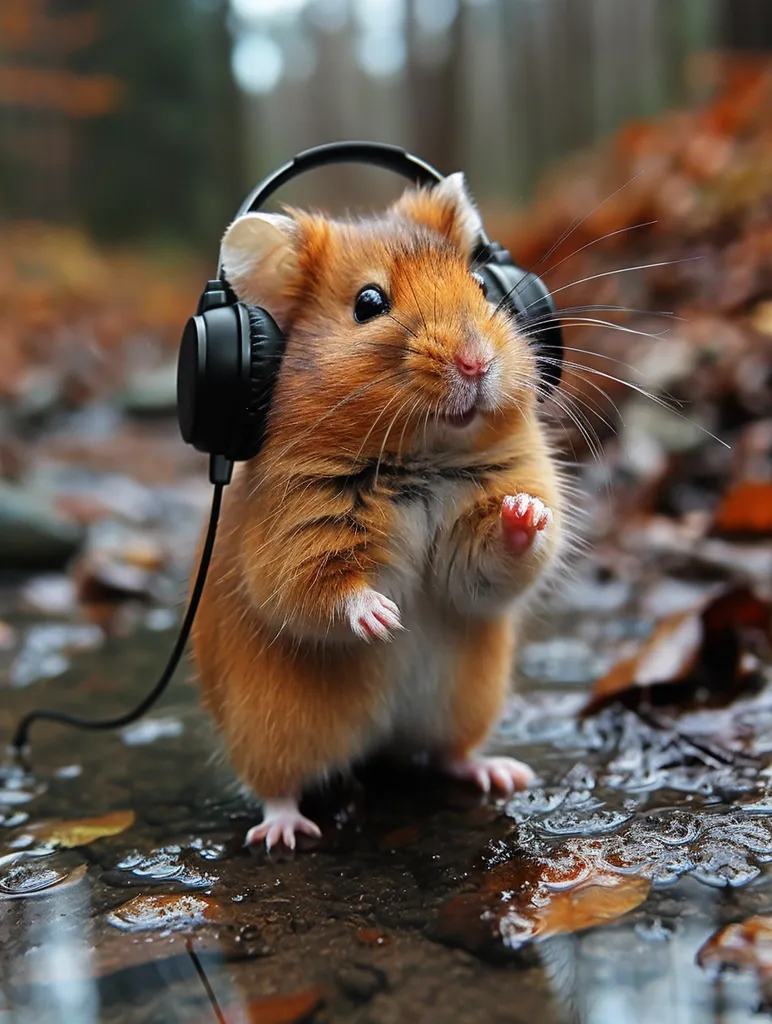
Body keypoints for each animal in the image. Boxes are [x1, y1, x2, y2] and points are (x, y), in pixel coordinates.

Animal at [191, 173, 564, 850]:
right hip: (274, 732)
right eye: (368, 303)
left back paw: (500, 772)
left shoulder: (475, 559)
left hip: (463, 705)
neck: (420, 461)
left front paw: (524, 513)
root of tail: (380, 745)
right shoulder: (291, 543)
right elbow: (323, 590)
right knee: (276, 786)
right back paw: (283, 833)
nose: (476, 363)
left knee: (448, 755)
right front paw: (383, 618)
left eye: (480, 287)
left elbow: (493, 563)